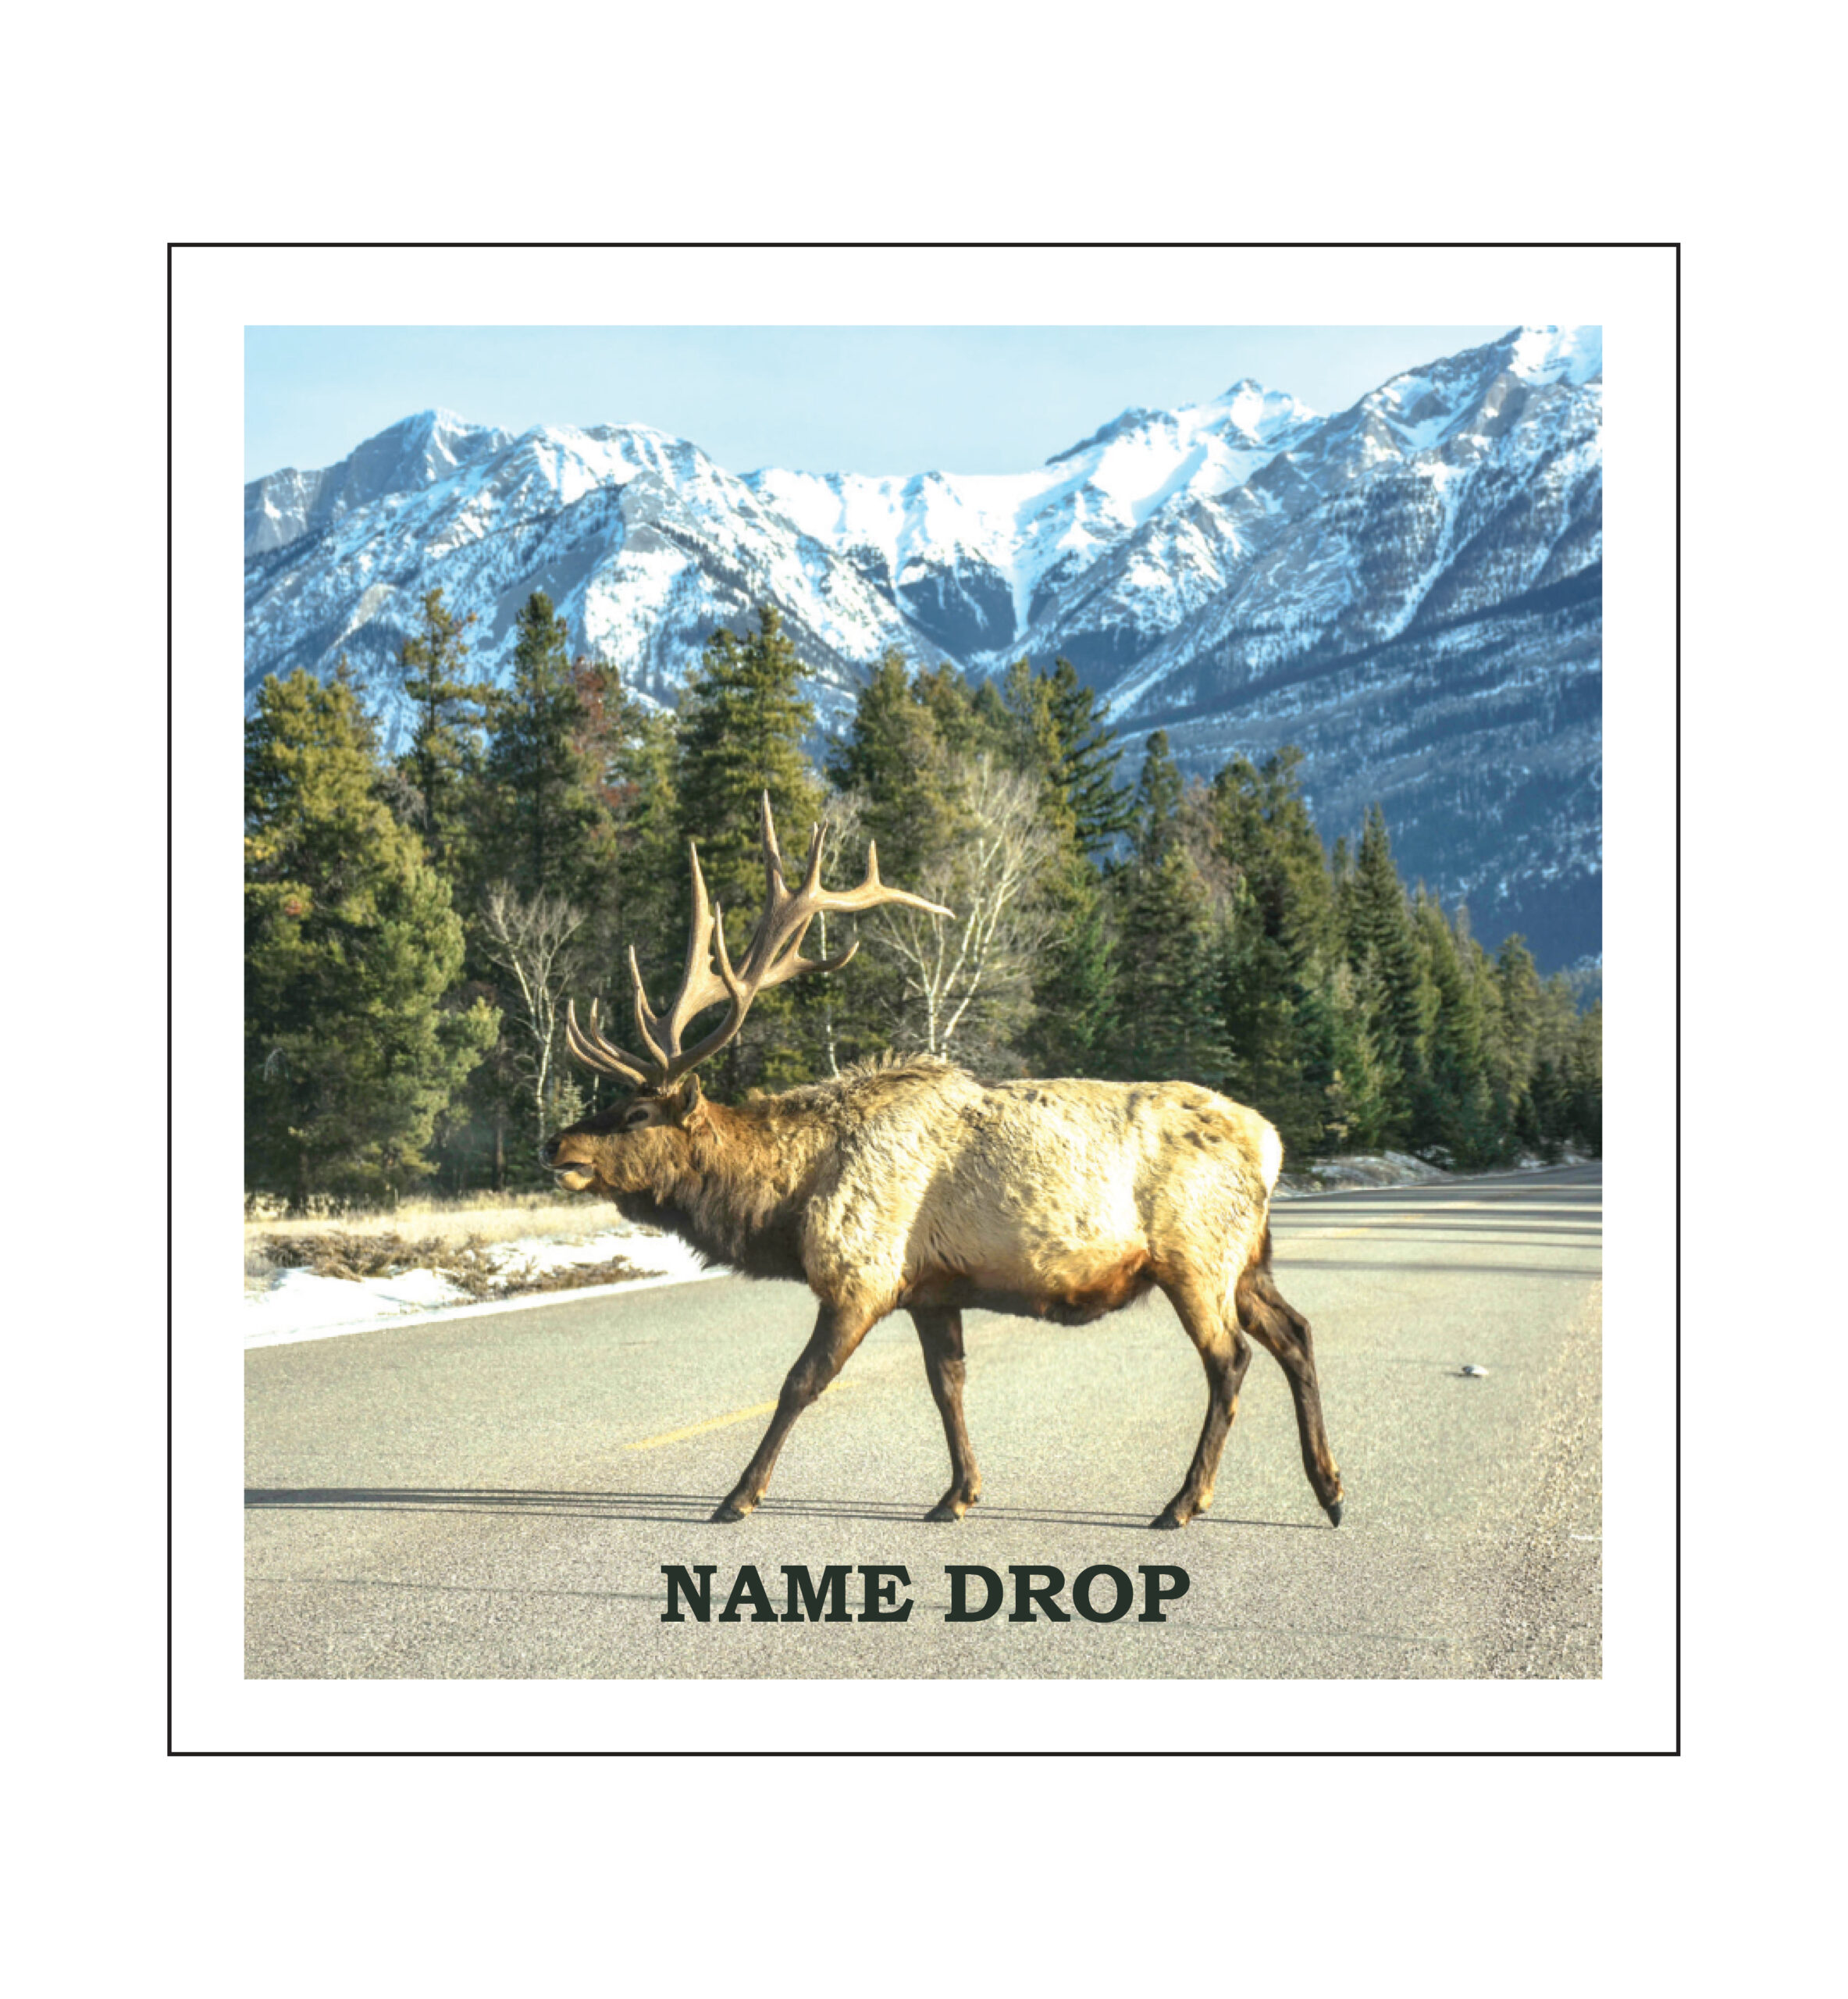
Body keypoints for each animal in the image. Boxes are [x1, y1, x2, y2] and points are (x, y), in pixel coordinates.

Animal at [543, 793, 1344, 1531]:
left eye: (636, 1114)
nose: (558, 1144)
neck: (789, 1202)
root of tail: (1270, 1143)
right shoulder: (931, 1290)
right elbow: (947, 1384)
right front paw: (958, 1494)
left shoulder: (861, 1275)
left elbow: (800, 1383)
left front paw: (738, 1496)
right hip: (1247, 1259)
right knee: (1295, 1334)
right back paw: (1329, 1489)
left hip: (1195, 1256)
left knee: (1230, 1359)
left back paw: (1184, 1502)